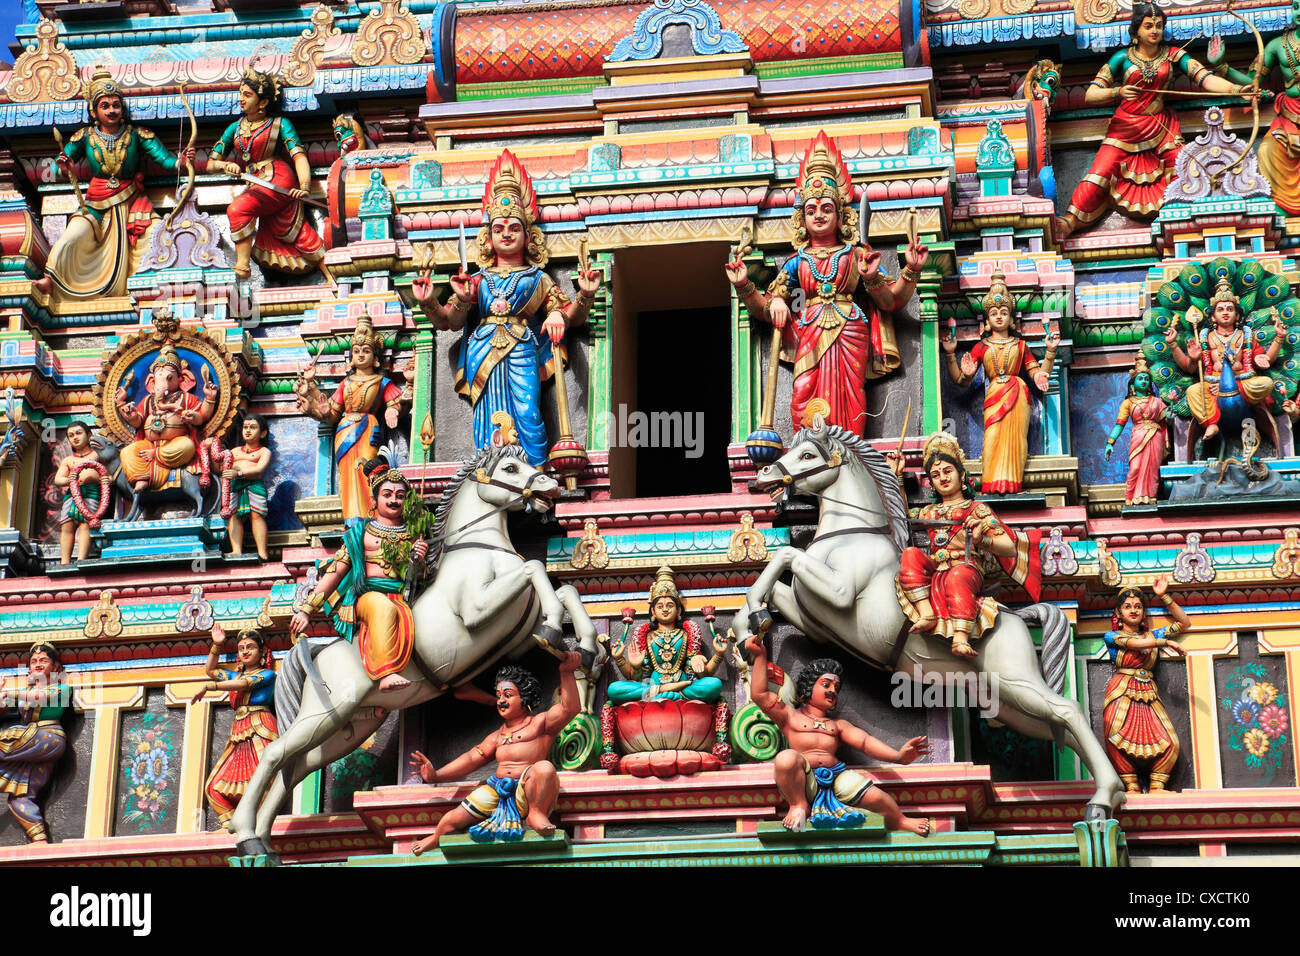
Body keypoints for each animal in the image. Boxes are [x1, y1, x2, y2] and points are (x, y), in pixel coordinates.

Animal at [233, 444, 598, 863]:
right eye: (510, 467)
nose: (550, 486)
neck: (482, 547)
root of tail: (319, 652)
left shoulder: (517, 636)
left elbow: (564, 591)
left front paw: (586, 646)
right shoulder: (475, 610)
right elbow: (535, 567)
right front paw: (557, 626)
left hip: (349, 724)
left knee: (297, 765)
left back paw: (264, 844)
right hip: (328, 708)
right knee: (274, 754)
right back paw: (245, 834)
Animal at [733, 426, 1128, 822]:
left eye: (807, 455)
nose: (764, 474)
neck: (849, 534)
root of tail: (1018, 617)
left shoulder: (840, 592)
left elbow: (787, 555)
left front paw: (757, 618)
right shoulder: (814, 620)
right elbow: (764, 595)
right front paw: (752, 638)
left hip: (1016, 678)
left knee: (1069, 710)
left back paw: (1102, 798)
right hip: (1007, 700)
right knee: (1058, 726)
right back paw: (1111, 793)